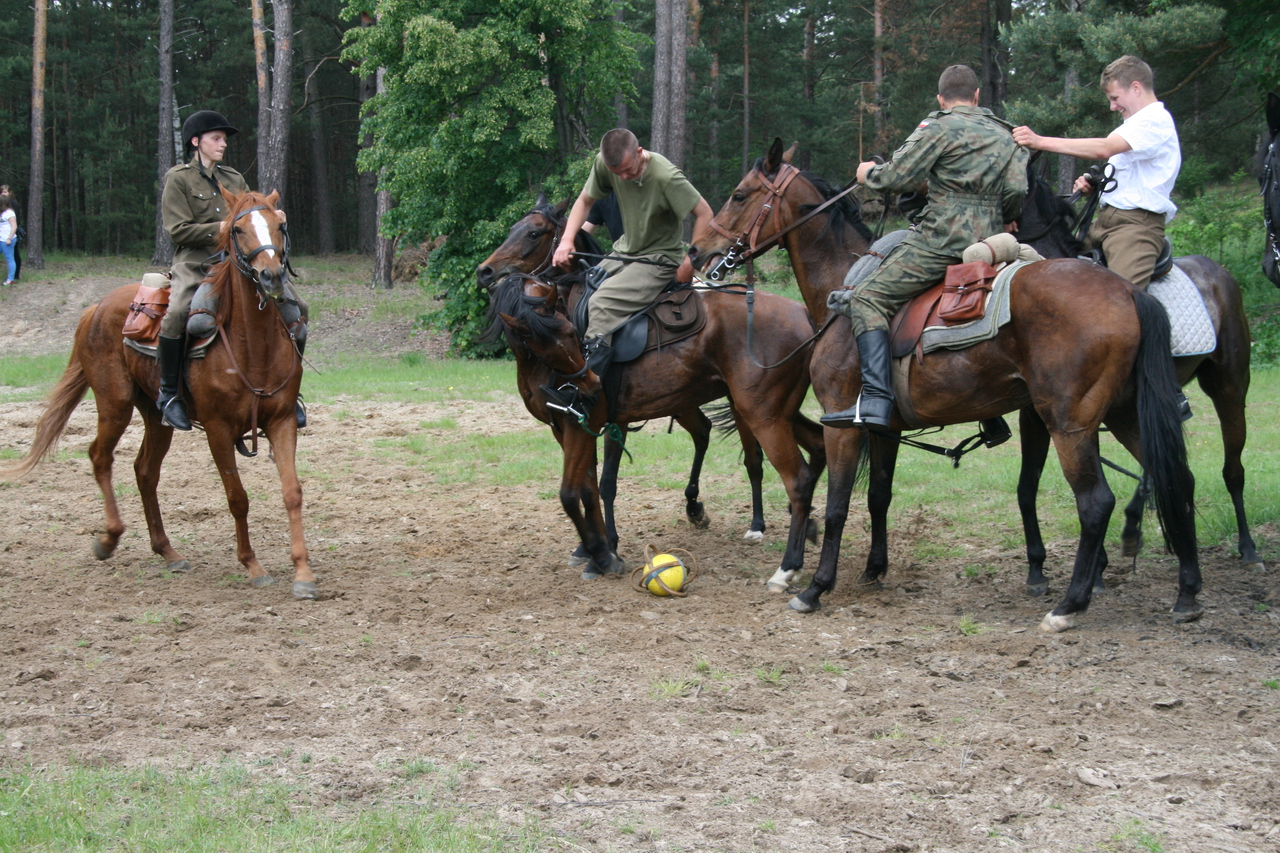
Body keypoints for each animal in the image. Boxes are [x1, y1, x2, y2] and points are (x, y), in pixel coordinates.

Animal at [1, 188, 316, 594]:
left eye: (280, 225)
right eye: (238, 229)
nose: (271, 275)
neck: (253, 344)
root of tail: (96, 307)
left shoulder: (282, 420)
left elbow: (292, 492)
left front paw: (303, 573)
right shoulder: (217, 430)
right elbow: (237, 498)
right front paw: (252, 565)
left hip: (156, 414)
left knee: (145, 471)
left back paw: (167, 551)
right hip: (114, 404)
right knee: (100, 457)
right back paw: (108, 539)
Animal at [476, 202, 824, 581]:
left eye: (534, 233)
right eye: (514, 228)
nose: (485, 270)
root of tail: (804, 313)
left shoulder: (597, 422)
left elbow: (594, 487)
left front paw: (605, 550)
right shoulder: (566, 427)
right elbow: (587, 487)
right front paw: (591, 549)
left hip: (757, 410)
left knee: (764, 462)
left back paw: (769, 537)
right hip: (766, 408)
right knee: (806, 444)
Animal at [691, 140, 1198, 630]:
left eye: (739, 194)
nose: (697, 251)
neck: (844, 291)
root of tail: (1127, 290)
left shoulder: (843, 424)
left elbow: (837, 505)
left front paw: (815, 586)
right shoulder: (883, 427)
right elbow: (878, 496)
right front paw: (874, 569)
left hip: (1069, 425)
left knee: (1096, 503)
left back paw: (1069, 606)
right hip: (1124, 415)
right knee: (1180, 480)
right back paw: (1187, 594)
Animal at [1018, 156, 1259, 573]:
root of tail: (1219, 272)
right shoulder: (1038, 413)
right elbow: (1028, 486)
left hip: (1228, 386)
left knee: (1233, 470)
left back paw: (1246, 547)